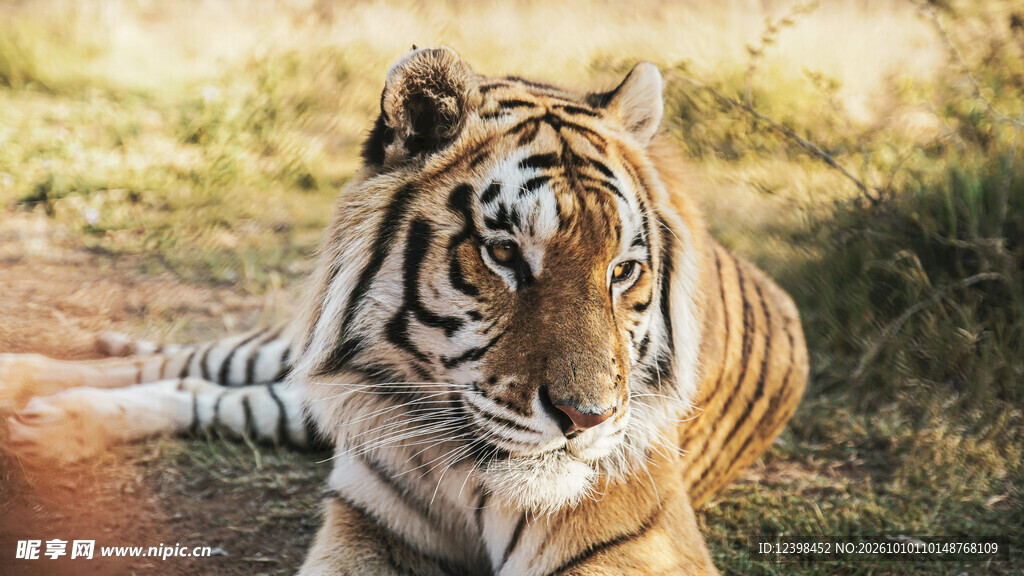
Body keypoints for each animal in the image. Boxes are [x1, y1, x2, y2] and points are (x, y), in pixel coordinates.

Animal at [0, 47, 808, 575]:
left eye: (623, 272)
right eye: (505, 254)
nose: (588, 420)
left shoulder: (641, 543)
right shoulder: (366, 527)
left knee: (202, 388)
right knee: (190, 362)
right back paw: (26, 384)